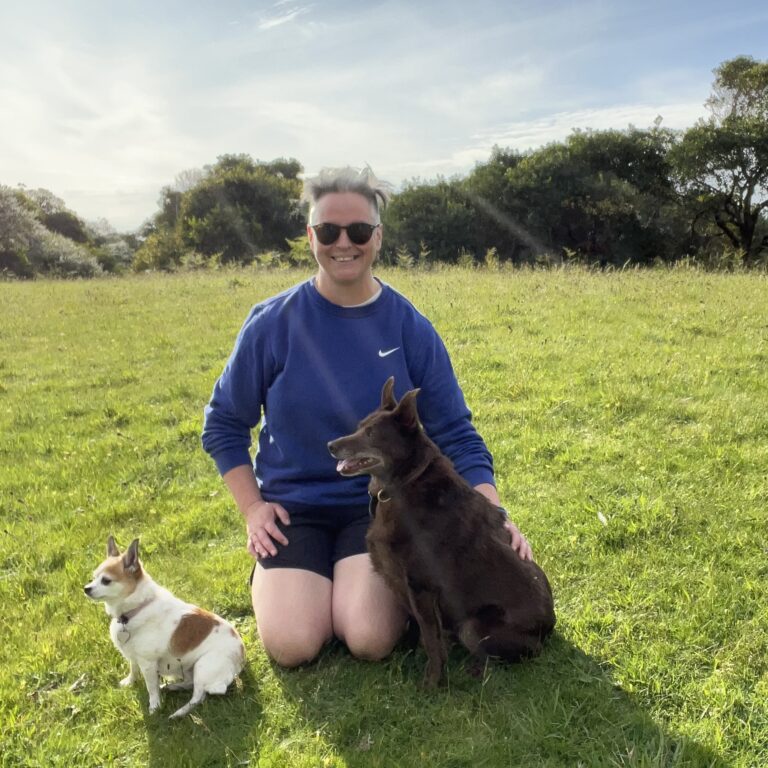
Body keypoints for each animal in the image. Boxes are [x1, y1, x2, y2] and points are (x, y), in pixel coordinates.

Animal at [328, 376, 556, 684]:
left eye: (372, 434)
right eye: (359, 426)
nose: (331, 445)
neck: (402, 484)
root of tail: (549, 628)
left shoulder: (421, 586)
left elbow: (431, 639)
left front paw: (432, 682)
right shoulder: (406, 587)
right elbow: (421, 630)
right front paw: (412, 657)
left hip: (473, 627)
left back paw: (475, 672)